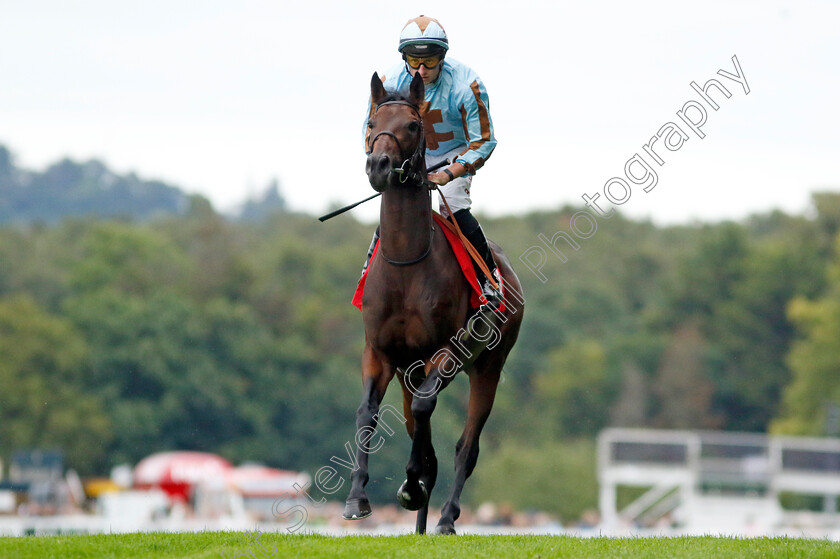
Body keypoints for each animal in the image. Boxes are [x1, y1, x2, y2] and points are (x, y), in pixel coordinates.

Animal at [342, 72, 524, 536]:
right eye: (372, 123)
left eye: (412, 125)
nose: (378, 166)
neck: (407, 260)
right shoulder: (381, 352)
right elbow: (368, 413)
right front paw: (357, 498)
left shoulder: (443, 351)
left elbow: (428, 413)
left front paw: (413, 484)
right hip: (411, 370)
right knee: (419, 427)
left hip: (486, 368)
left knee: (466, 446)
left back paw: (444, 517)